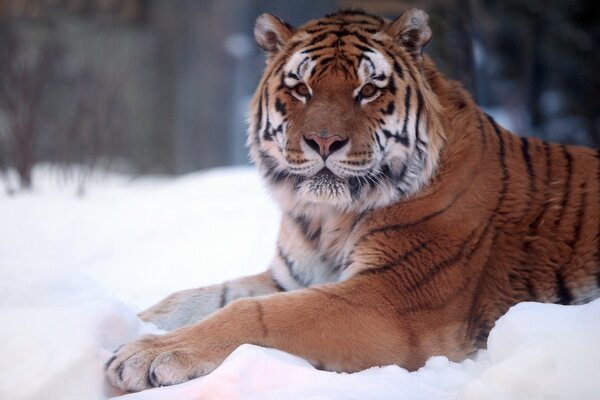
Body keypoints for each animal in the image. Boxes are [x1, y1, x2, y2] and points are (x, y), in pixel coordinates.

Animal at [104, 7, 600, 392]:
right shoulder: (290, 277)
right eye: (300, 88)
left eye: (369, 90)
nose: (324, 142)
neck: (325, 219)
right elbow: (190, 299)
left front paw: (145, 356)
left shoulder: (391, 298)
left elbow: (254, 315)